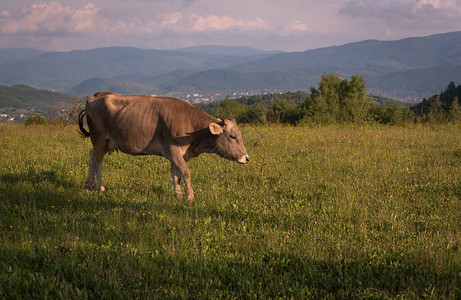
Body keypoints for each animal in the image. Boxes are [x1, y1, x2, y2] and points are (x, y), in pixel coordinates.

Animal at [79, 92, 252, 203]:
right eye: (233, 137)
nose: (247, 158)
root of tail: (98, 94)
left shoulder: (176, 154)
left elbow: (176, 175)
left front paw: (178, 196)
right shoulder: (174, 150)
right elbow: (185, 173)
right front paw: (190, 198)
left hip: (104, 142)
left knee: (92, 156)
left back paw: (89, 183)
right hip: (99, 138)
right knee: (98, 161)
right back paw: (100, 186)